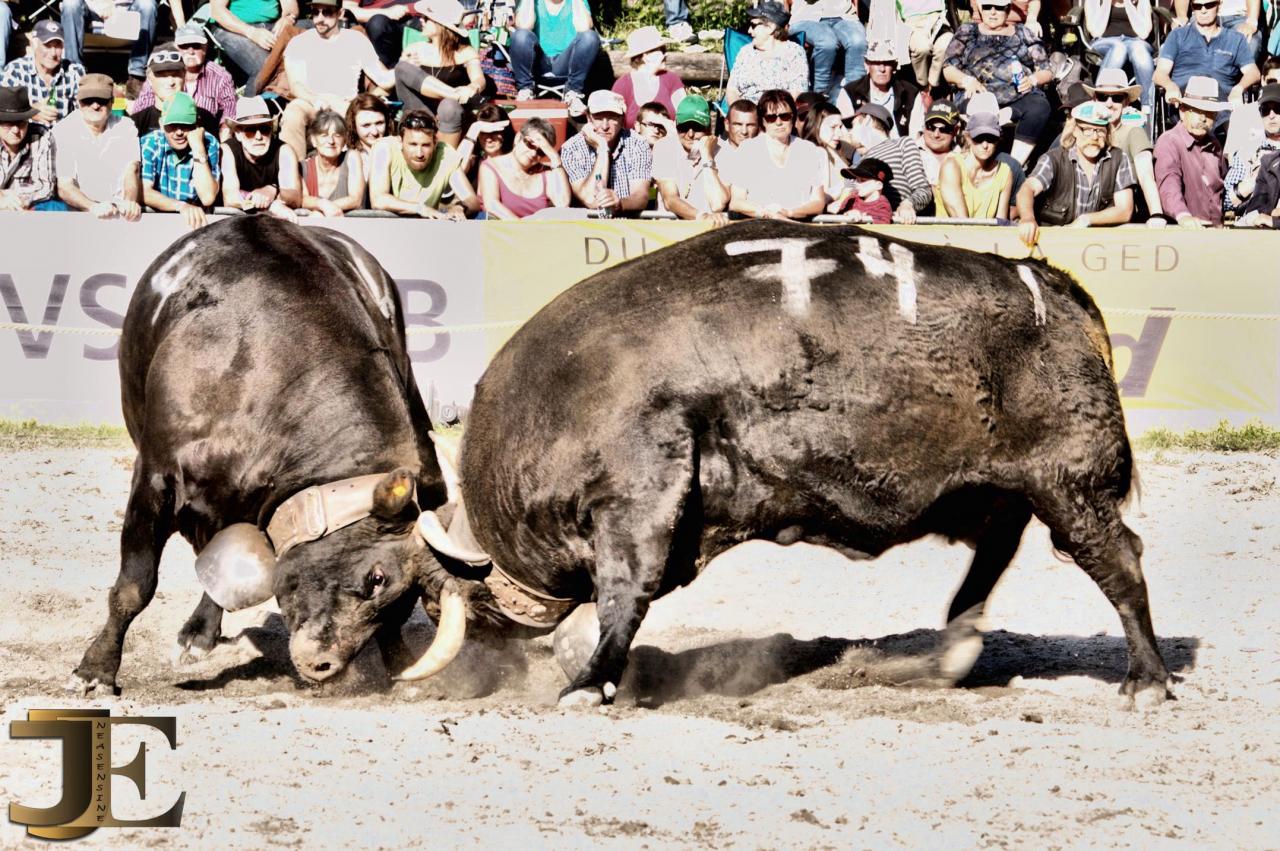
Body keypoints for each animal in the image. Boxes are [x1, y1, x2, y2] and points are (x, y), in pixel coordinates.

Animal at [445, 217, 1172, 701]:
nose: (476, 672)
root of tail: (1050, 283)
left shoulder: (636, 497)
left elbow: (625, 594)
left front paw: (592, 680)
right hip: (1009, 489)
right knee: (995, 557)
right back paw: (951, 654)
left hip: (1072, 488)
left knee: (1119, 561)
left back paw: (1146, 677)